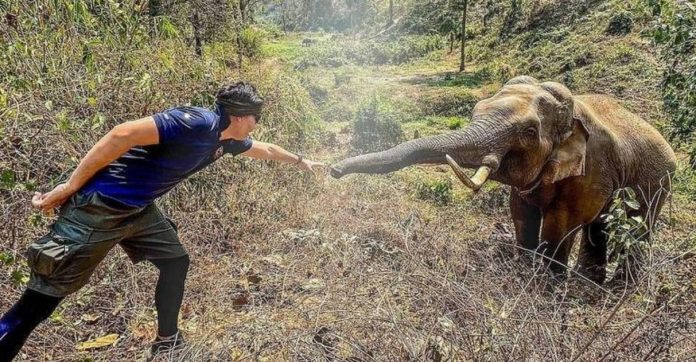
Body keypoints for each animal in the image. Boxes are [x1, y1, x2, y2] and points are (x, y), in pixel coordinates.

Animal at [328, 75, 676, 282]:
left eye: (530, 132)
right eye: (476, 110)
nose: (333, 170)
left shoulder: (591, 168)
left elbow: (561, 224)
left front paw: (546, 289)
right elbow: (521, 214)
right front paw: (523, 273)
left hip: (659, 180)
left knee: (639, 225)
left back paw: (618, 287)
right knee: (600, 226)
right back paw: (589, 283)